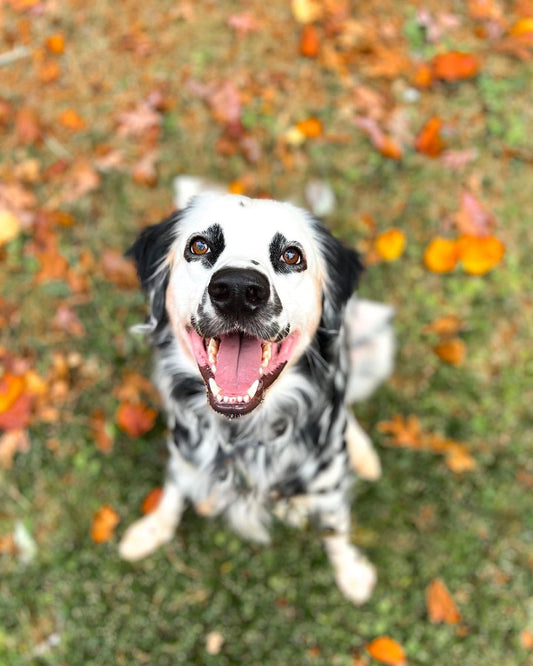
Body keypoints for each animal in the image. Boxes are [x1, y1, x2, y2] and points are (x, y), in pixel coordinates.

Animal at [121, 191, 394, 600]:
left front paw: (351, 572)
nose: (237, 290)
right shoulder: (184, 452)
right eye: (199, 245)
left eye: (291, 255)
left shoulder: (327, 485)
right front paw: (151, 530)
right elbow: (173, 491)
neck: (243, 434)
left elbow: (336, 528)